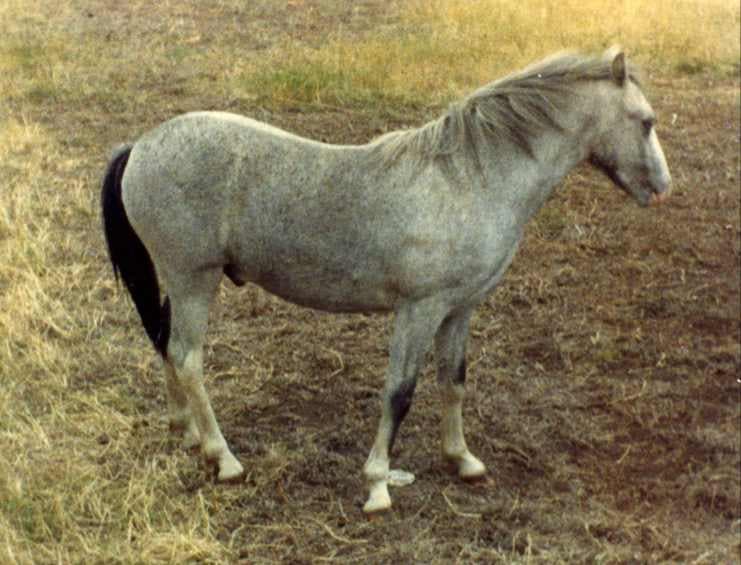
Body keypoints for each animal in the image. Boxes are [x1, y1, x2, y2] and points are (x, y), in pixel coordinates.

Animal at [101, 48, 671, 513]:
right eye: (645, 121)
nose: (662, 187)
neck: (468, 180)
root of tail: (142, 145)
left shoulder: (459, 309)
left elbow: (453, 381)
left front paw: (462, 460)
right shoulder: (418, 310)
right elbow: (400, 391)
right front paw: (377, 484)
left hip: (180, 282)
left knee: (166, 343)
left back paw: (187, 433)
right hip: (193, 279)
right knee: (188, 358)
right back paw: (224, 458)